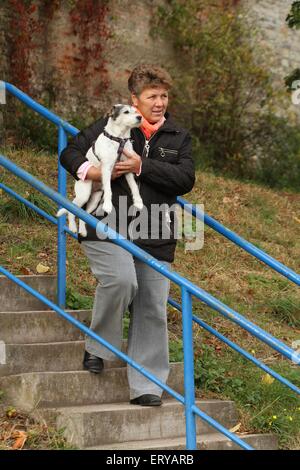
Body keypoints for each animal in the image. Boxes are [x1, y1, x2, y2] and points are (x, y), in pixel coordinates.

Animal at [58, 107, 144, 239]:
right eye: (126, 112)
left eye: (135, 111)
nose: (140, 117)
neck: (119, 139)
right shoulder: (107, 169)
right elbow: (109, 189)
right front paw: (107, 205)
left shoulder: (128, 168)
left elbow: (134, 187)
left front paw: (138, 202)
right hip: (83, 195)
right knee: (71, 210)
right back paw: (72, 227)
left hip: (95, 199)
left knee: (84, 215)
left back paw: (82, 231)